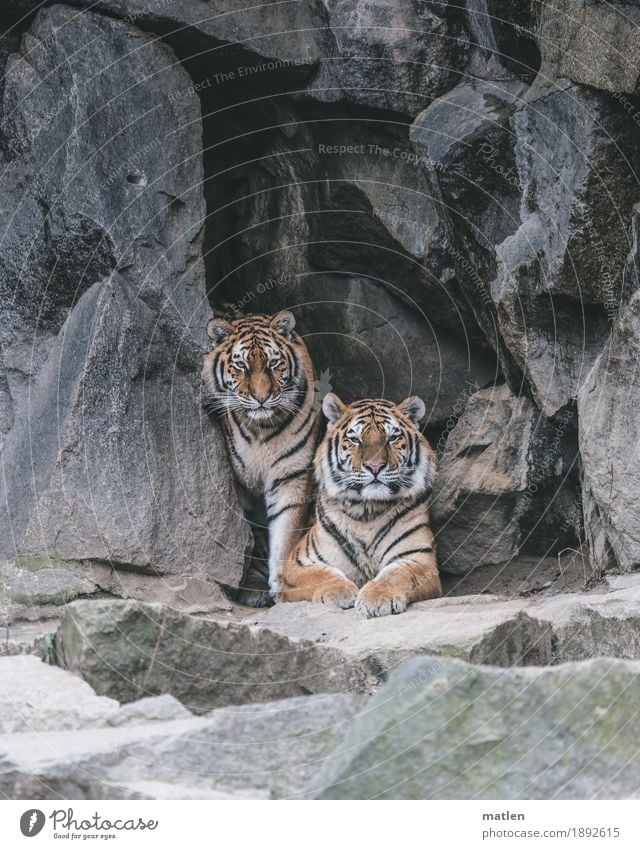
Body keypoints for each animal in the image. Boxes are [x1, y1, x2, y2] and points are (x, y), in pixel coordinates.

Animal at [201, 308, 318, 608]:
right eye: (241, 366)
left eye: (274, 363)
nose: (262, 398)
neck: (261, 429)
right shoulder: (239, 486)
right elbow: (249, 536)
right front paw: (249, 584)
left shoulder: (291, 477)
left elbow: (285, 534)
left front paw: (283, 586)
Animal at [278, 390, 442, 616]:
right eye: (355, 438)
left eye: (392, 437)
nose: (375, 466)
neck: (367, 510)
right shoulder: (299, 562)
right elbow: (319, 575)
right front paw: (340, 592)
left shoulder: (419, 559)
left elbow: (397, 575)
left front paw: (378, 598)